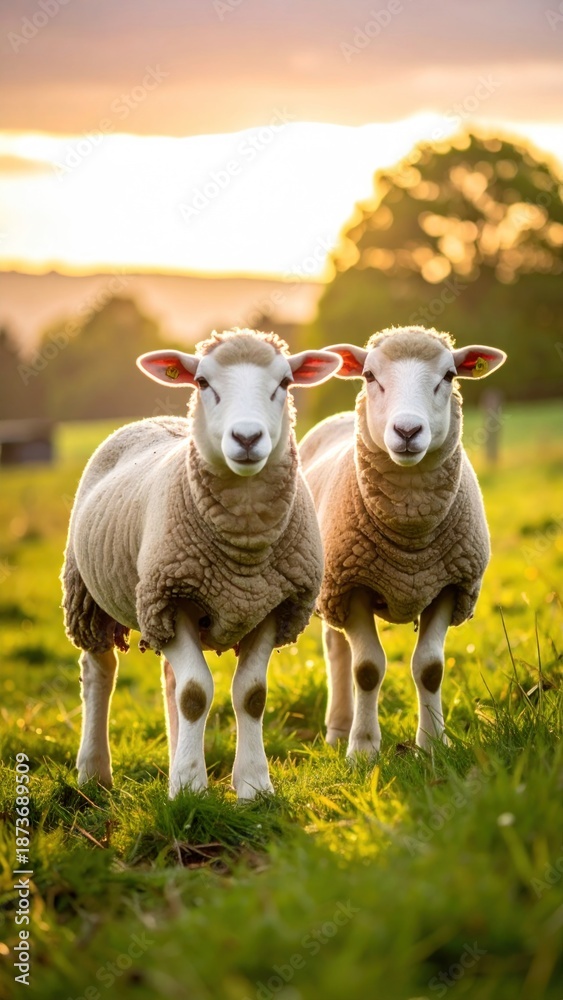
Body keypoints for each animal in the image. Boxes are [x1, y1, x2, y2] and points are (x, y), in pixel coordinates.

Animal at [61, 329, 341, 799]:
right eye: (203, 382)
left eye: (284, 383)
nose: (246, 438)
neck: (244, 554)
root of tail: (150, 420)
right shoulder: (168, 598)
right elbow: (195, 693)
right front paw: (190, 788)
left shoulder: (276, 605)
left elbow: (250, 694)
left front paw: (252, 786)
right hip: (89, 594)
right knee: (100, 672)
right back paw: (93, 773)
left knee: (170, 681)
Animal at [299, 325, 506, 754]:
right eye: (369, 376)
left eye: (449, 375)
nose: (408, 431)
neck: (410, 538)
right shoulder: (352, 586)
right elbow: (366, 668)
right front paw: (362, 749)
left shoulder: (450, 586)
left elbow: (430, 668)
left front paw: (433, 745)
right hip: (330, 588)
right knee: (337, 652)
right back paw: (338, 730)